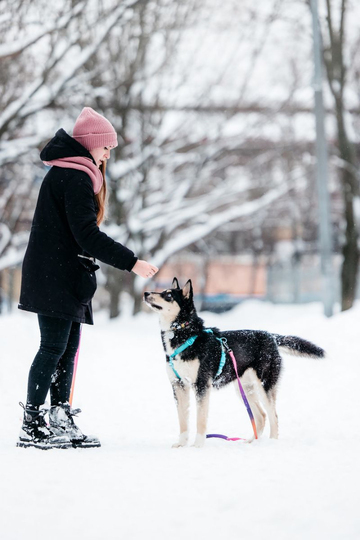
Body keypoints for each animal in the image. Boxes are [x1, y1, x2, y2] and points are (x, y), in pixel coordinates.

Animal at [144, 278, 326, 448]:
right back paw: (251, 441)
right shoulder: (178, 385)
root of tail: (270, 336)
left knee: (273, 415)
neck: (185, 333)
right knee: (261, 416)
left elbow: (200, 419)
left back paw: (271, 442)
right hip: (244, 388)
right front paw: (181, 444)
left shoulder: (201, 385)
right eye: (162, 291)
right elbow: (183, 420)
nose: (146, 293)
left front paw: (198, 445)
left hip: (264, 385)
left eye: (168, 295)